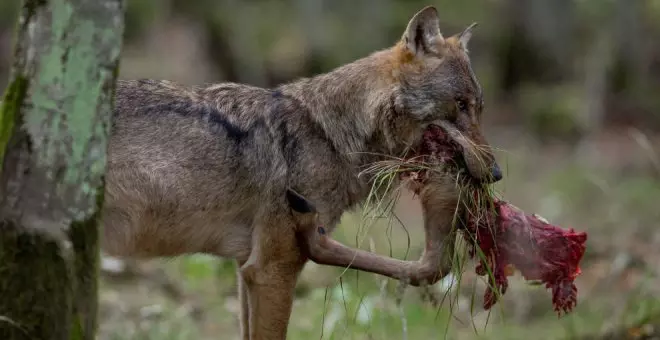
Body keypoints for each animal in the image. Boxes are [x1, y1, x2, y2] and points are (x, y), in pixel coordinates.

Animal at [103, 5, 502, 340]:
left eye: (480, 108)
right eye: (460, 105)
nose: (496, 173)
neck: (330, 136)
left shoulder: (246, 268)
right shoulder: (271, 269)